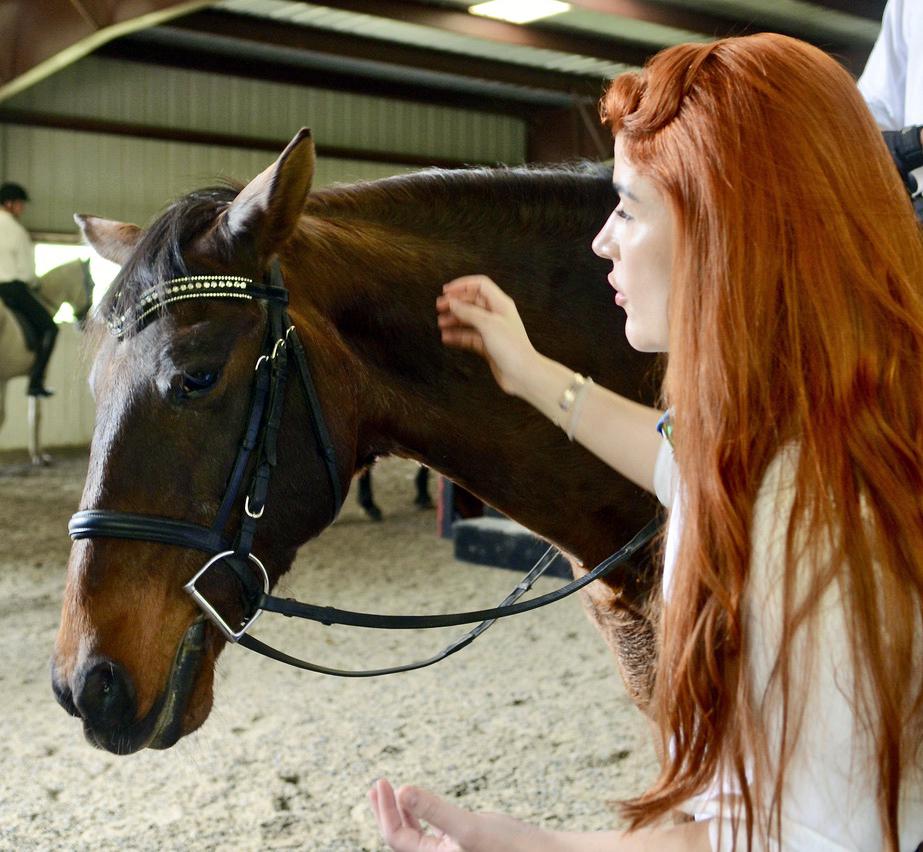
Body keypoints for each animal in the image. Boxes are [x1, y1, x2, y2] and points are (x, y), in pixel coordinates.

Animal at [0, 258, 94, 465]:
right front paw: (39, 456)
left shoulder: (4, 379)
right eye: (92, 284)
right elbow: (36, 416)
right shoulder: (40, 373)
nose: (84, 323)